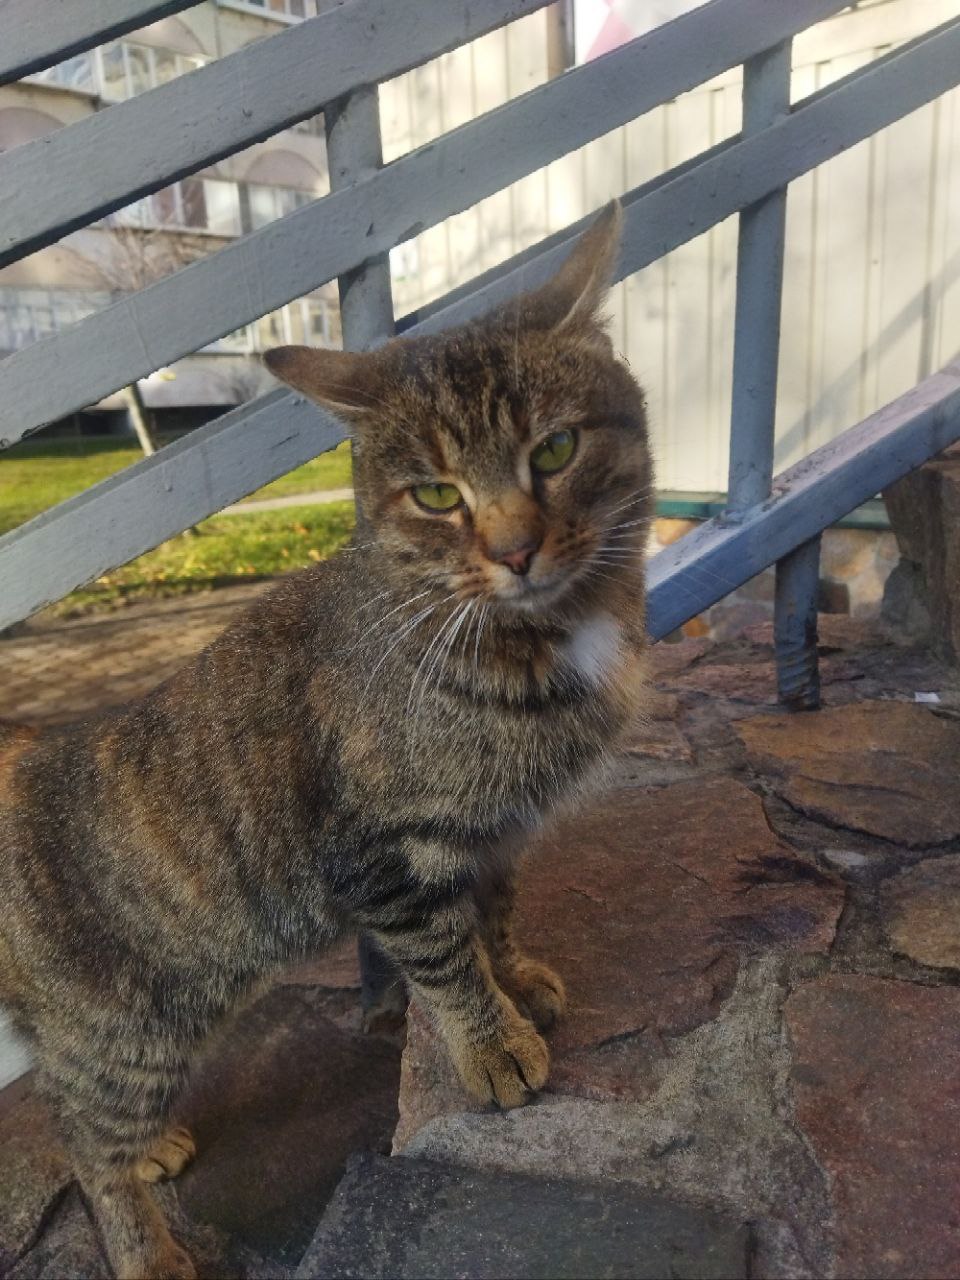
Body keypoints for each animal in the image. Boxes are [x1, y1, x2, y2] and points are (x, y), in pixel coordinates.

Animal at [0, 201, 652, 1280]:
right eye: (436, 495)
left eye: (555, 450)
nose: (516, 548)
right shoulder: (384, 858)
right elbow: (443, 958)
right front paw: (492, 1043)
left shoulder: (494, 831)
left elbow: (494, 912)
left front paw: (515, 976)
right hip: (125, 1034)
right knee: (84, 1140)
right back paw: (145, 1244)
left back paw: (156, 1149)